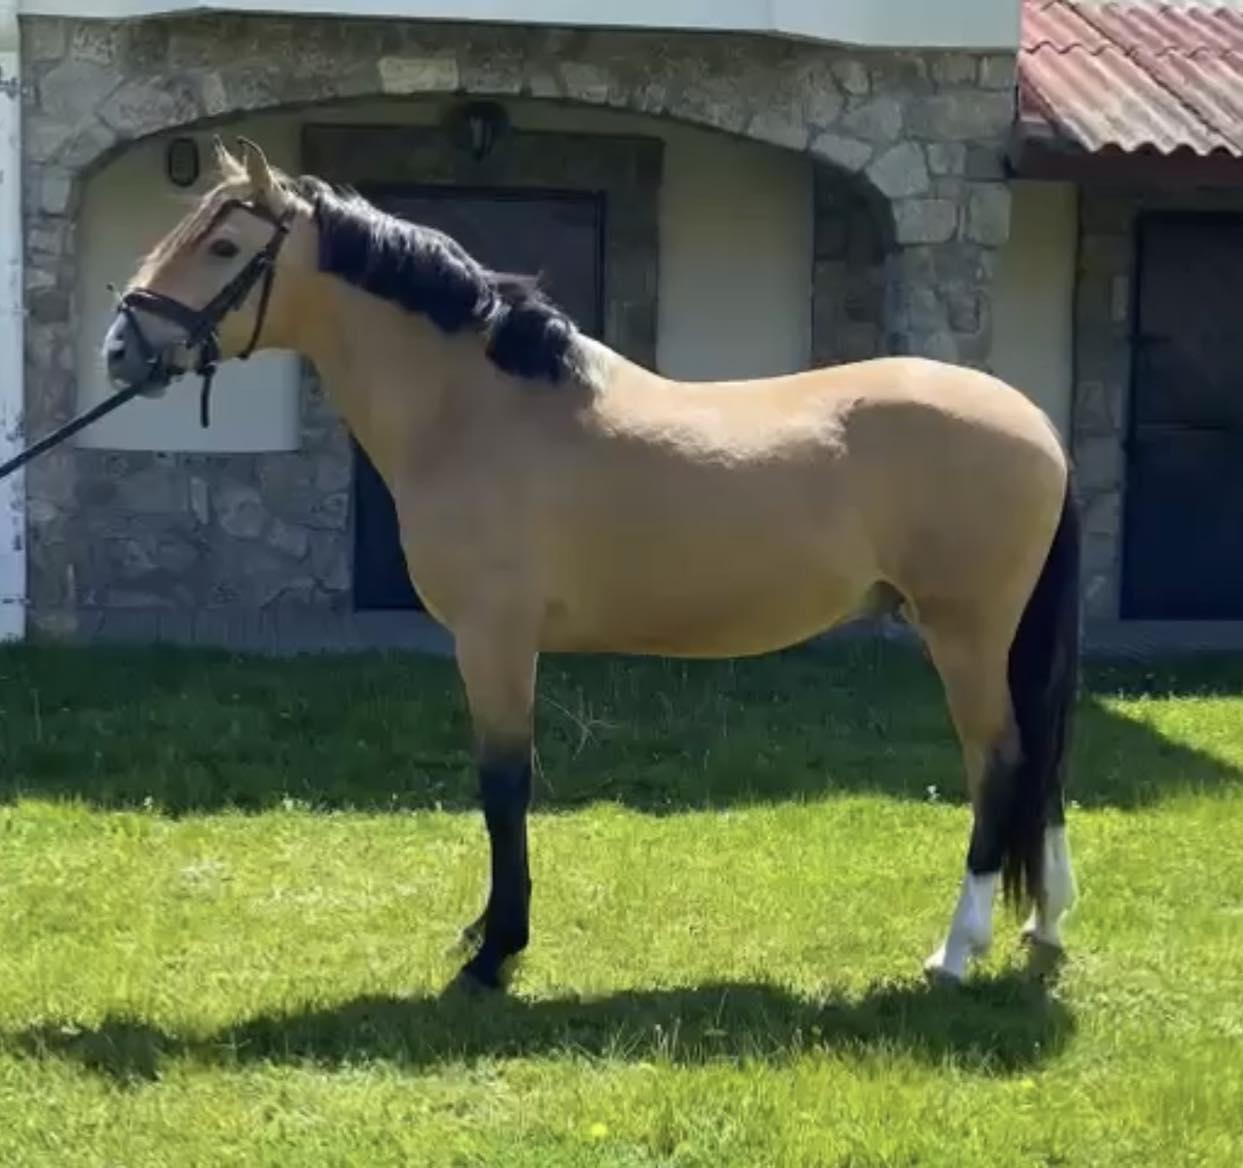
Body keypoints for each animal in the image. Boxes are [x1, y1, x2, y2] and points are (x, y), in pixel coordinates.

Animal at [101, 137, 1080, 992]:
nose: (121, 350)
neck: (479, 410)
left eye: (224, 244)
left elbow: (503, 786)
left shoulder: (494, 641)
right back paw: (1042, 928)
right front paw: (483, 934)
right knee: (1038, 765)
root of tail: (1032, 420)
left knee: (998, 763)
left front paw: (496, 952)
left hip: (963, 632)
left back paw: (955, 951)